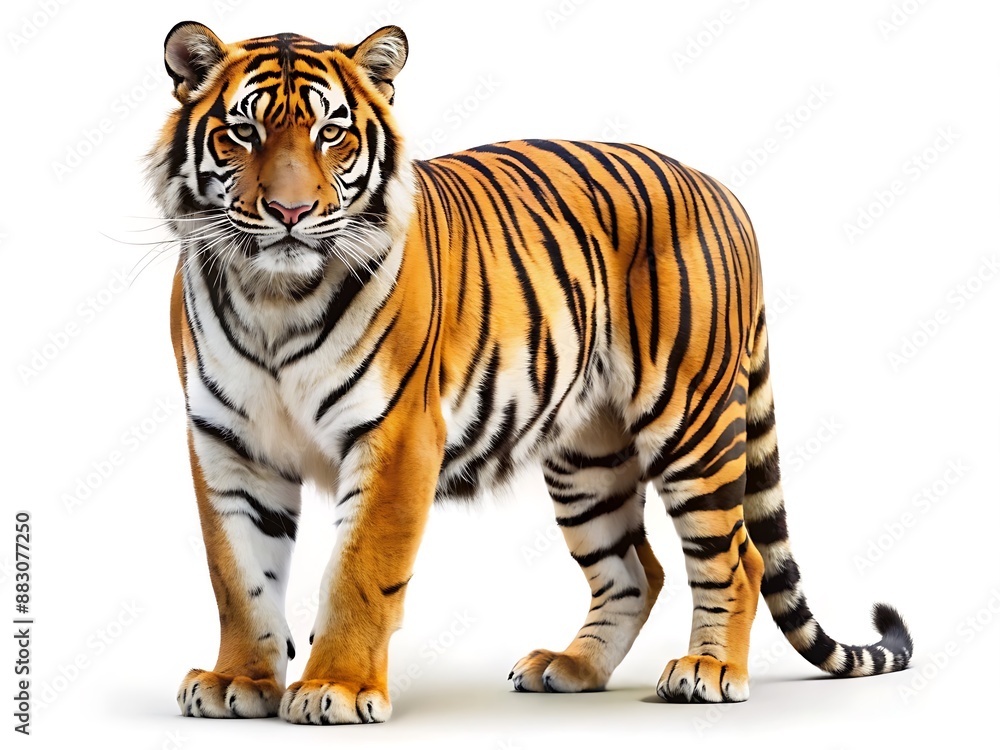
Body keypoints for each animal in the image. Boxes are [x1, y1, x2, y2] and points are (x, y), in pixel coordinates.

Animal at [146, 21, 913, 724]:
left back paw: (709, 670)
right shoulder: (226, 442)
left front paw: (337, 686)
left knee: (738, 557)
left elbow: (359, 571)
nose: (290, 211)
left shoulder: (395, 435)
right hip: (588, 456)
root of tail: (724, 191)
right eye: (243, 132)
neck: (272, 297)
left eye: (331, 133)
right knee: (636, 570)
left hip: (690, 422)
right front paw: (237, 681)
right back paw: (571, 668)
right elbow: (237, 574)